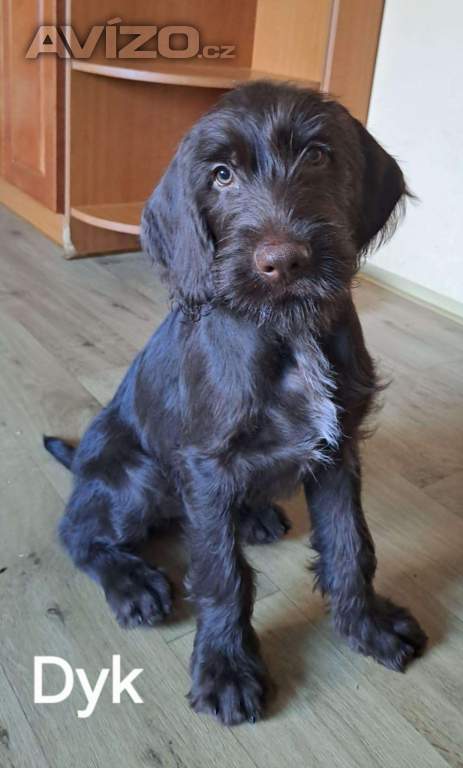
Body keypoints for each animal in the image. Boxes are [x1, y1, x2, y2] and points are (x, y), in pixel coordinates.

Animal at [45, 81, 427, 726]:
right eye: (221, 175)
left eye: (317, 155)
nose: (284, 261)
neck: (287, 329)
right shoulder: (206, 465)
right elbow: (222, 574)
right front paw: (225, 669)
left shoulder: (337, 451)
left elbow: (351, 544)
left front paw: (367, 625)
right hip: (138, 476)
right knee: (78, 531)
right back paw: (131, 584)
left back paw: (253, 515)